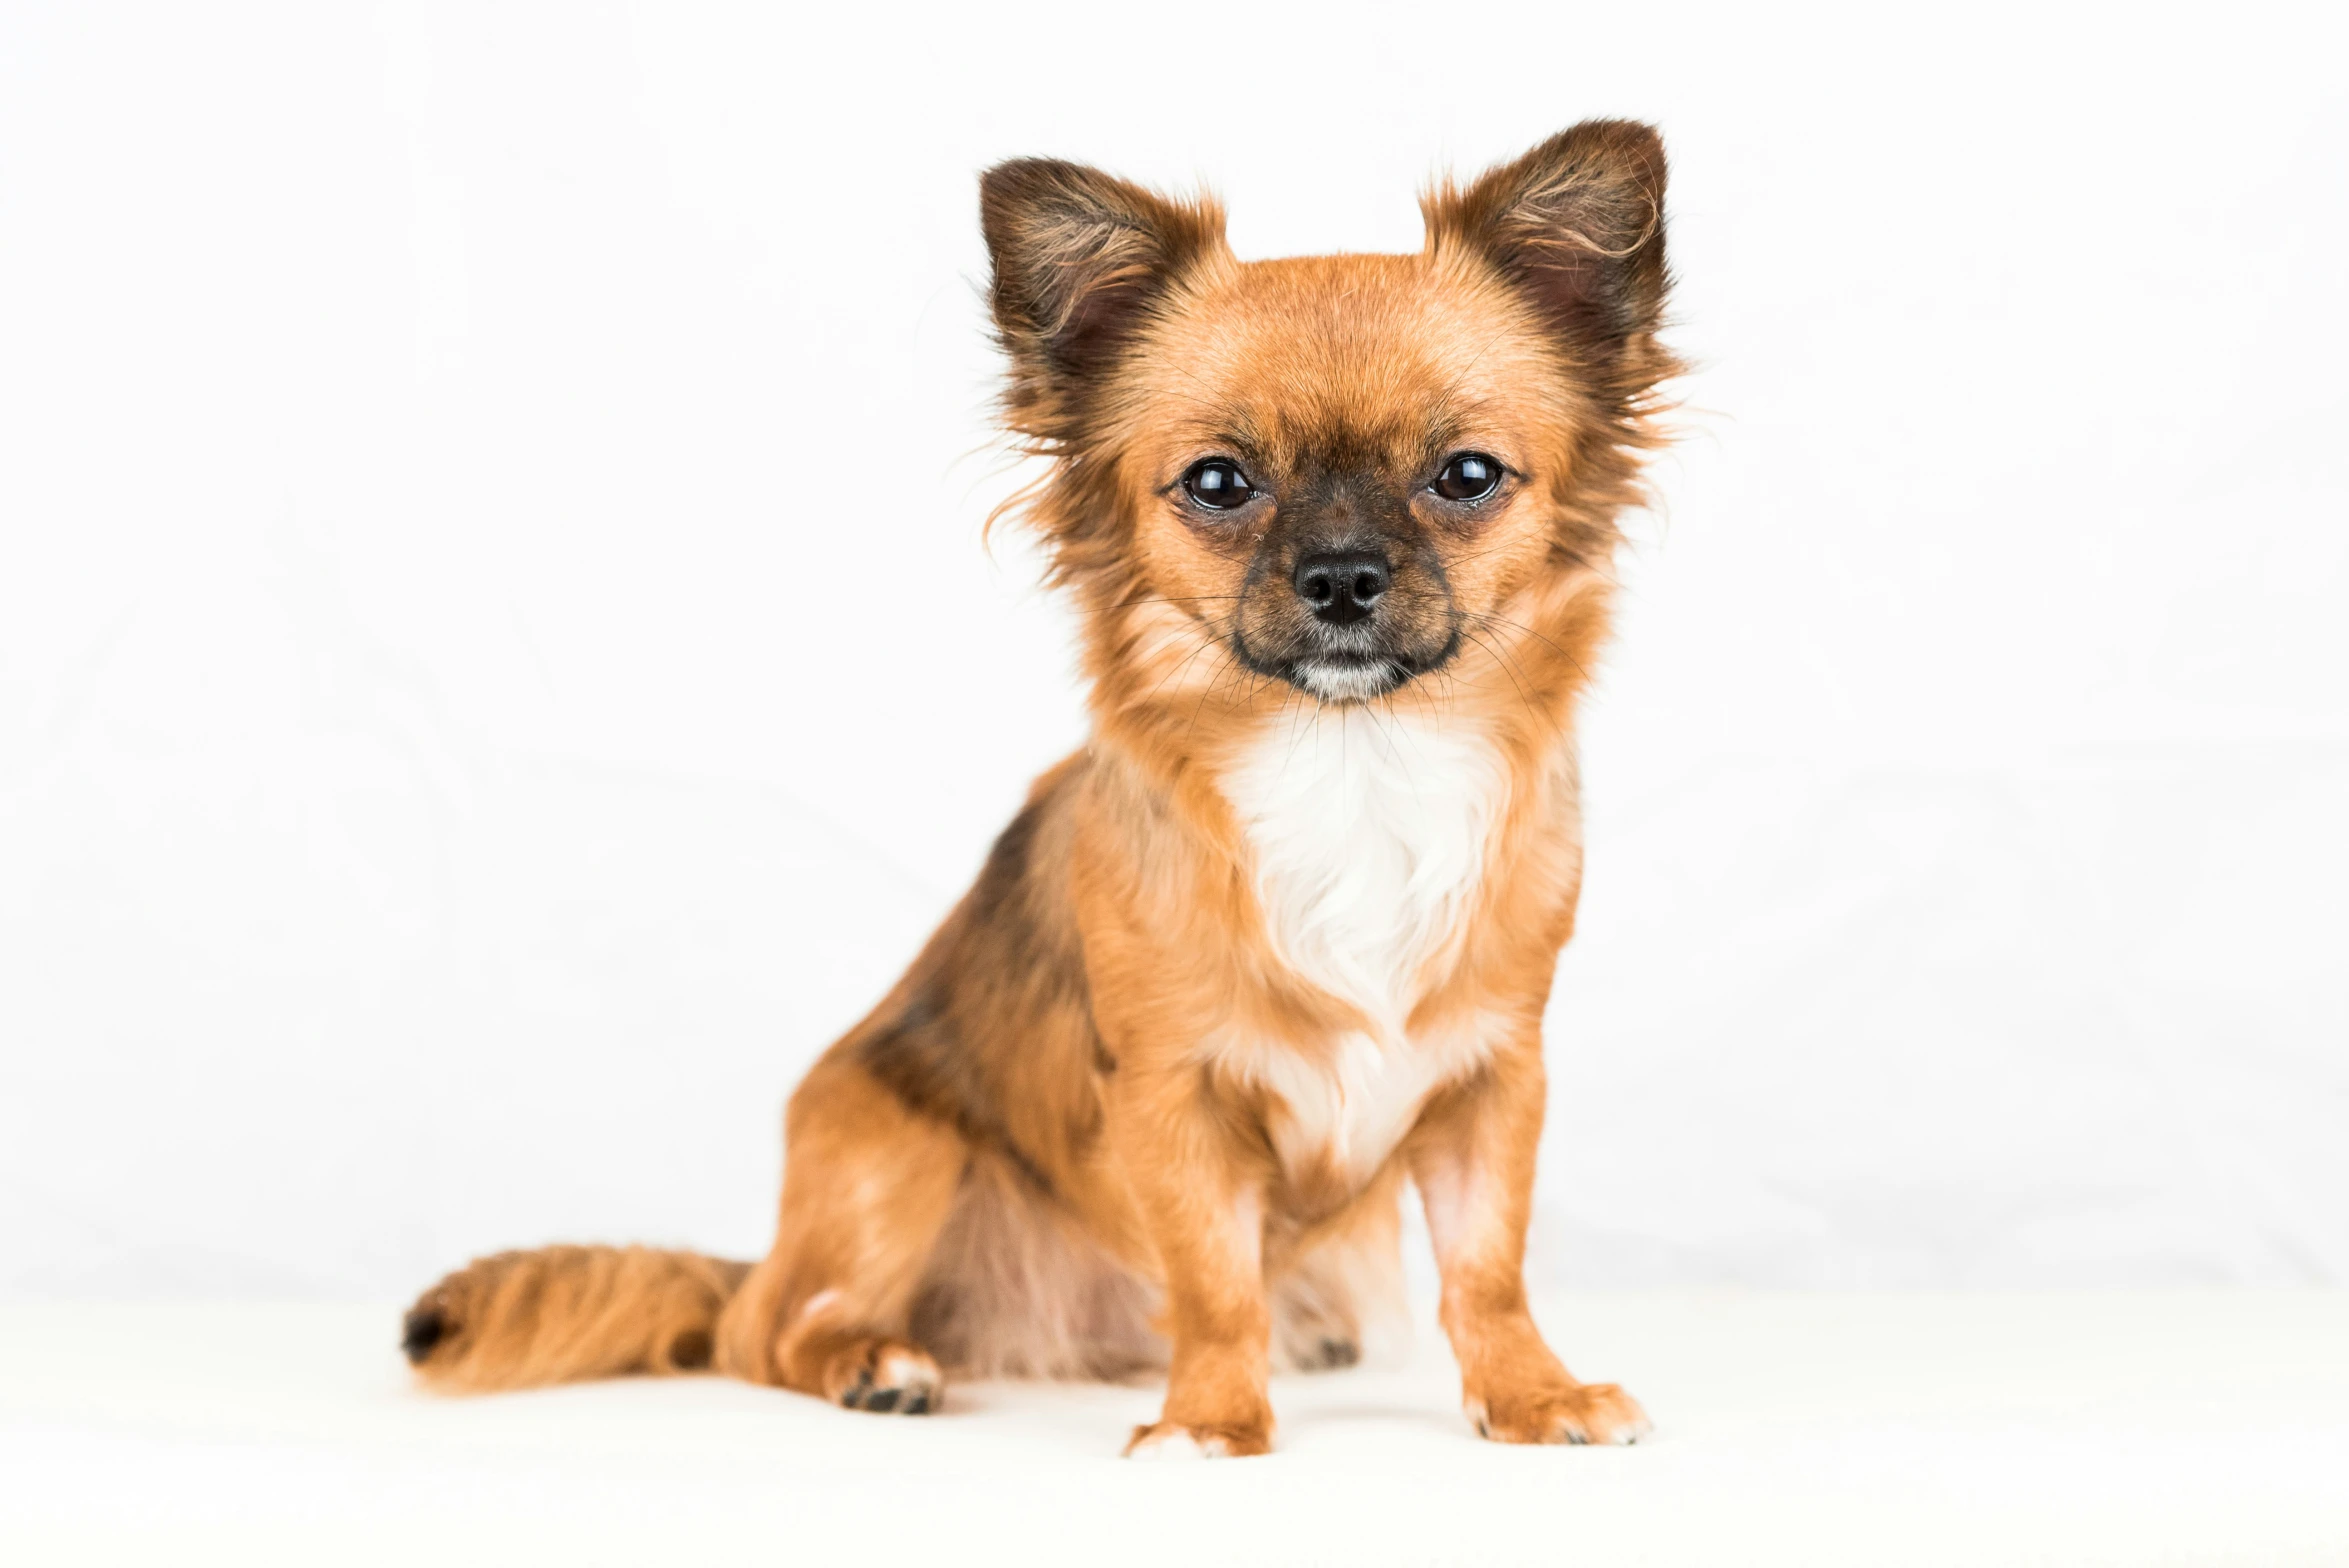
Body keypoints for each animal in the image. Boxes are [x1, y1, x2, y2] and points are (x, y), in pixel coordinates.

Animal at [408, 122, 1691, 1455]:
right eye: (1220, 483)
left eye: (1467, 474)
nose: (1342, 575)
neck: (1354, 762)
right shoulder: (1171, 1091)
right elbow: (1213, 1278)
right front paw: (1213, 1419)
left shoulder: (1493, 1076)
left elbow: (1487, 1267)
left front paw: (1532, 1394)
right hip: (893, 1149)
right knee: (765, 1332)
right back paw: (871, 1358)